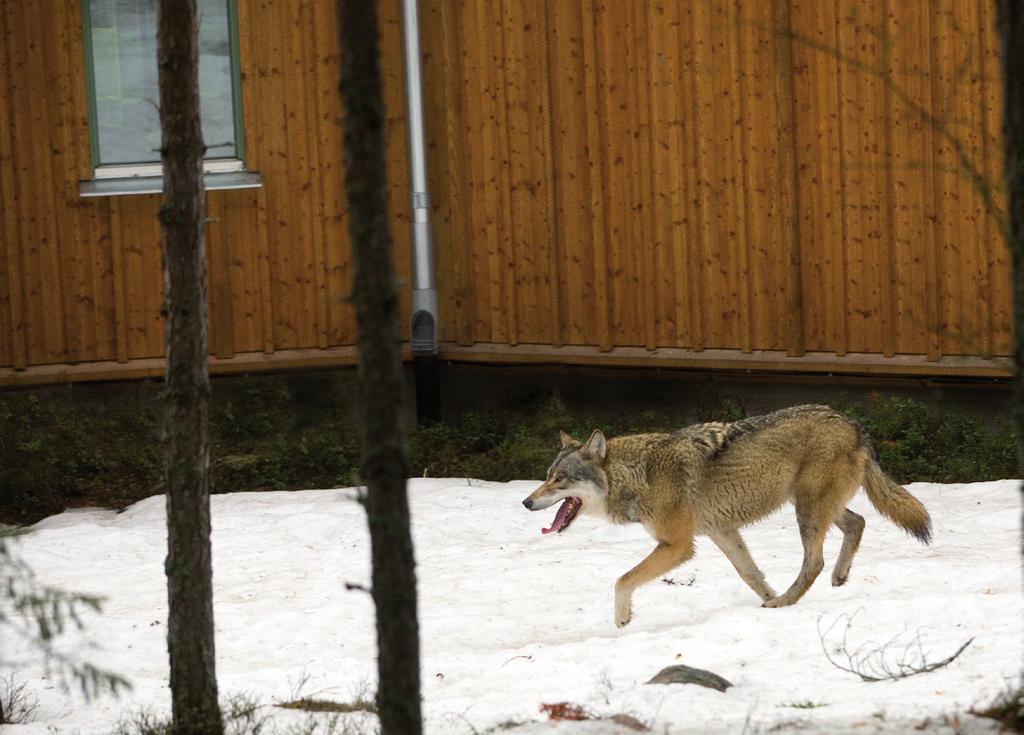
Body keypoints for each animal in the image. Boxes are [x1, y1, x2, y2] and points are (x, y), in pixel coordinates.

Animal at [524, 405, 933, 630]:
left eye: (559, 479)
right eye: (546, 475)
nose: (527, 502)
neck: (640, 474)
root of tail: (854, 424)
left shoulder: (677, 546)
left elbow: (622, 580)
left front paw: (623, 618)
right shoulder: (722, 532)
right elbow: (750, 574)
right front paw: (768, 597)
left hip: (807, 511)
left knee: (814, 561)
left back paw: (789, 601)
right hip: (817, 507)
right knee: (857, 523)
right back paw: (836, 577)